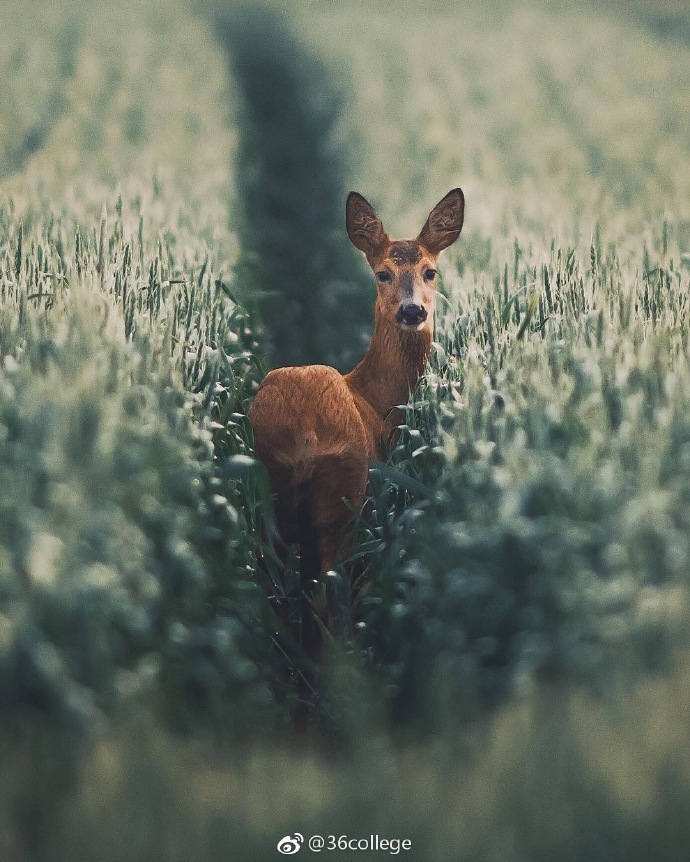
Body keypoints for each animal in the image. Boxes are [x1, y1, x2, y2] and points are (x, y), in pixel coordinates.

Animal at [247, 187, 462, 648]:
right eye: (382, 274)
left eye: (430, 271)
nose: (412, 311)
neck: (375, 400)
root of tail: (306, 432)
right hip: (343, 494)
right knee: (328, 598)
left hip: (266, 494)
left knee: (274, 593)